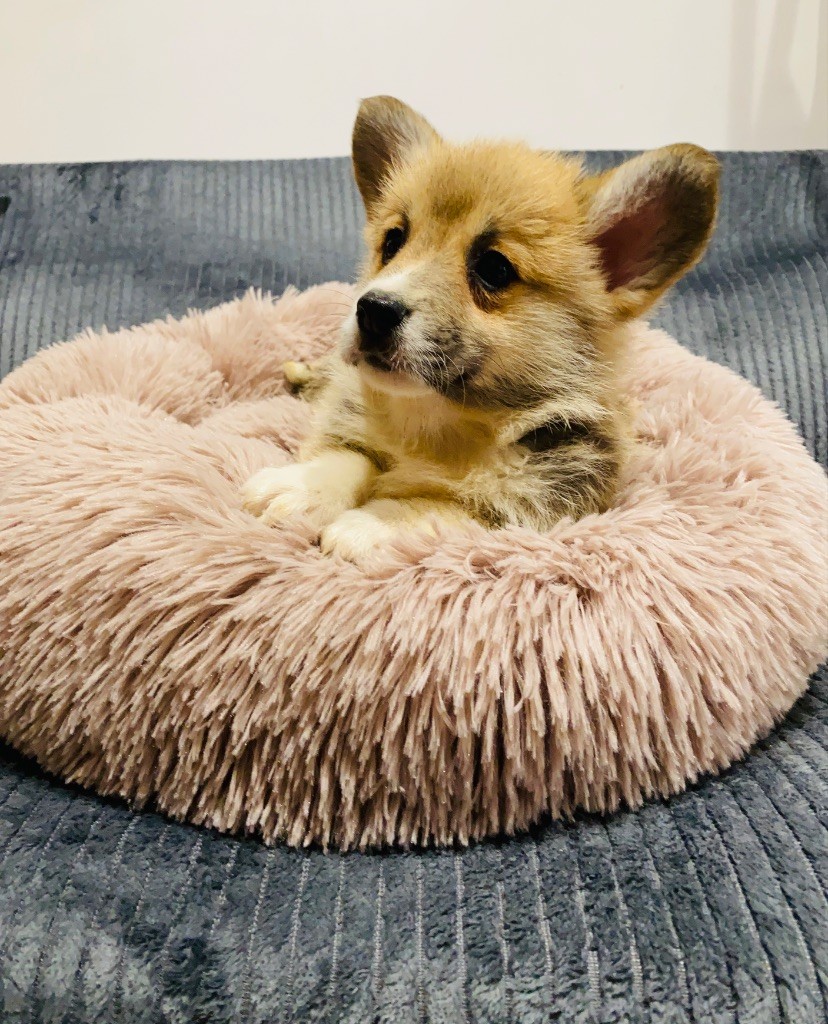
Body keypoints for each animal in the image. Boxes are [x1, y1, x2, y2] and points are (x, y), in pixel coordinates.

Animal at [242, 96, 719, 563]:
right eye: (393, 242)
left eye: (494, 268)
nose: (373, 310)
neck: (440, 426)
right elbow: (349, 457)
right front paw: (297, 488)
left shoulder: (527, 511)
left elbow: (437, 506)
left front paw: (367, 525)